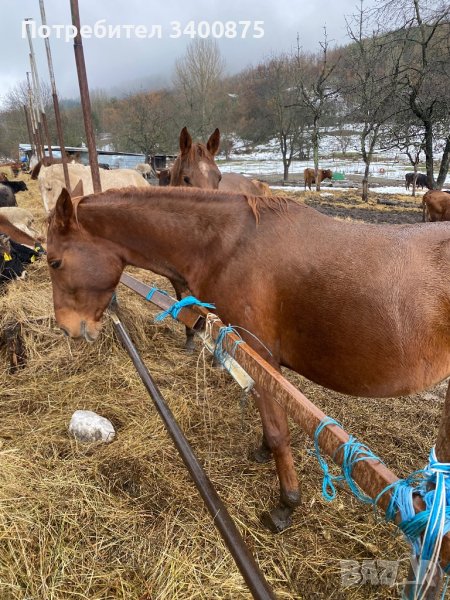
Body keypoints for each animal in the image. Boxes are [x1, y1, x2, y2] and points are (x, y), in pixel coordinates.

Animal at [45, 186, 450, 528]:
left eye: (54, 262)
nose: (68, 328)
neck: (229, 246)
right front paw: (262, 453)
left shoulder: (261, 353)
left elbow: (278, 430)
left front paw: (287, 502)